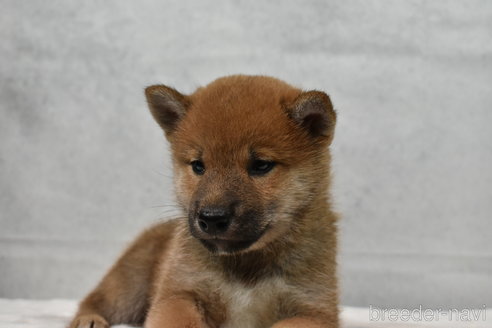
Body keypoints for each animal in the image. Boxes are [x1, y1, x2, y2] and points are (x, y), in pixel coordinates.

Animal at [69, 75, 338, 328]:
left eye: (261, 165)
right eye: (198, 166)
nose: (212, 218)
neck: (245, 266)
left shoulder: (315, 311)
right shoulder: (178, 295)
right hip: (129, 286)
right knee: (95, 300)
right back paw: (88, 319)